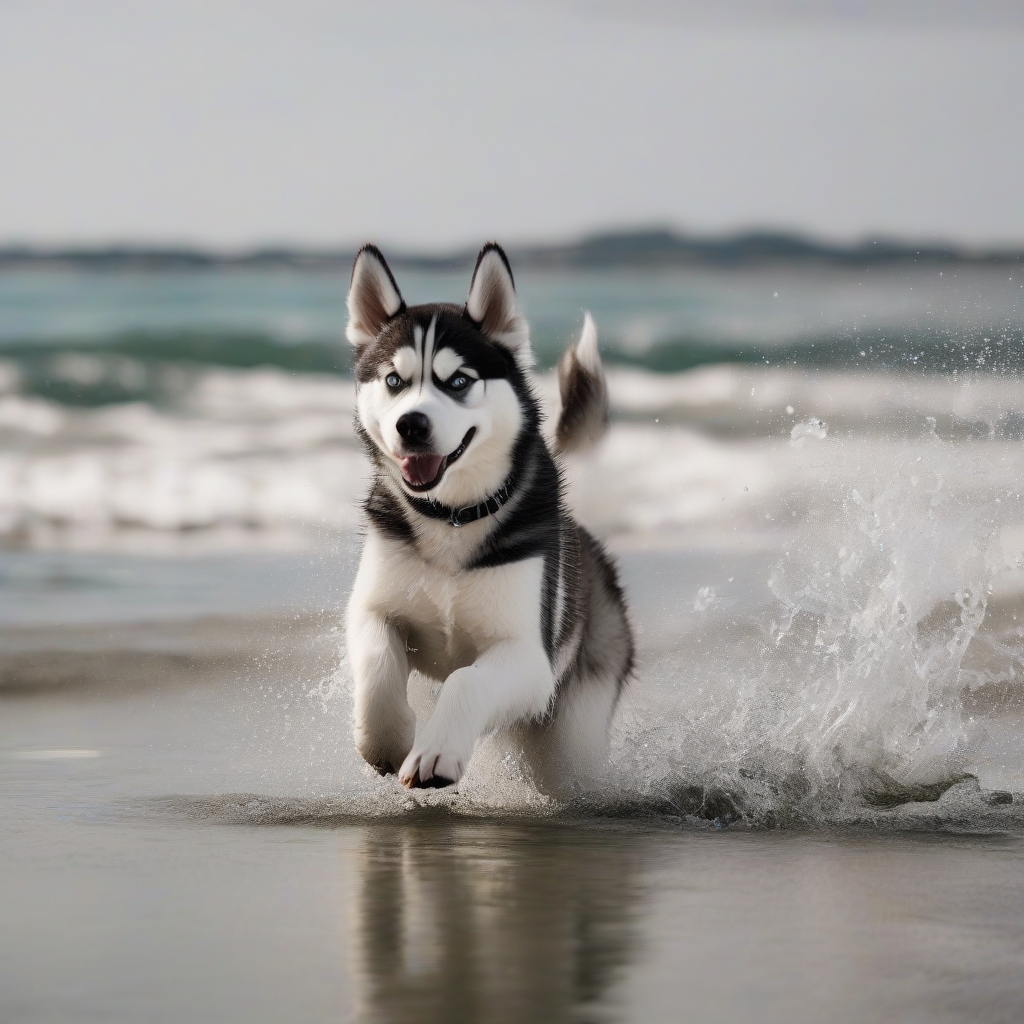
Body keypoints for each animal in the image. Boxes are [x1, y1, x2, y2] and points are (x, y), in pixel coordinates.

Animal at [344, 241, 630, 790]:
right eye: (394, 380)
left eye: (458, 381)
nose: (411, 425)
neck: (451, 518)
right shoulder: (371, 609)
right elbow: (377, 660)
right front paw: (387, 739)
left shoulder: (529, 660)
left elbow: (466, 680)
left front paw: (436, 753)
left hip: (574, 734)